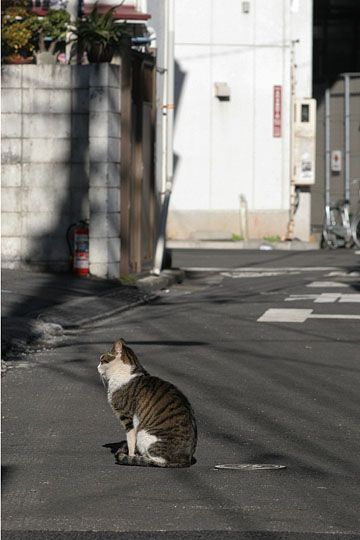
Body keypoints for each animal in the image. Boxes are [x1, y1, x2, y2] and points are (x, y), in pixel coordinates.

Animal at [97, 338, 197, 468]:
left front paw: (130, 455)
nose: (97, 367)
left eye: (102, 360)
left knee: (156, 460)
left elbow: (130, 441)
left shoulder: (127, 417)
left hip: (144, 434)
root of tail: (185, 461)